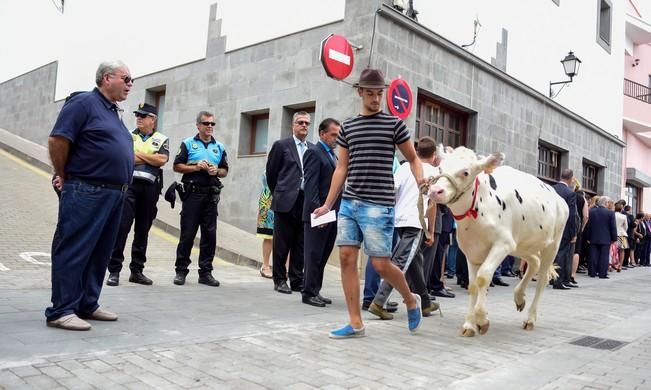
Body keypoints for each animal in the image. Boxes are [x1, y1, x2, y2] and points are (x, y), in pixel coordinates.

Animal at [428, 146, 564, 336]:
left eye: (465, 172)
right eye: (440, 168)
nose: (435, 191)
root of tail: (558, 197)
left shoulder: (503, 244)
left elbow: (483, 277)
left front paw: (481, 320)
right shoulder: (471, 250)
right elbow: (473, 285)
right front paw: (469, 324)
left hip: (551, 245)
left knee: (542, 278)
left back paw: (530, 319)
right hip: (522, 245)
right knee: (534, 263)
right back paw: (519, 297)